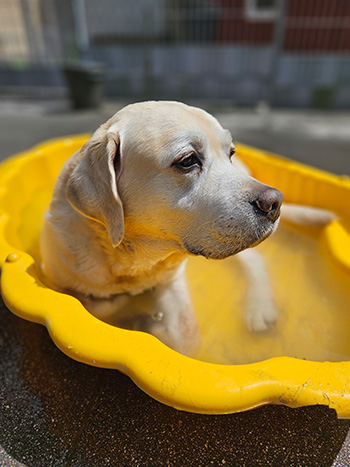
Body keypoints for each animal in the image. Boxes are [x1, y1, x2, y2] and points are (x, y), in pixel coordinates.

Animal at [39, 101, 334, 354]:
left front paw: (152, 325)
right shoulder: (56, 277)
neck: (130, 258)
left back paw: (259, 307)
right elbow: (92, 303)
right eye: (188, 160)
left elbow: (188, 338)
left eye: (230, 152)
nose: (274, 202)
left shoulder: (173, 279)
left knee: (256, 262)